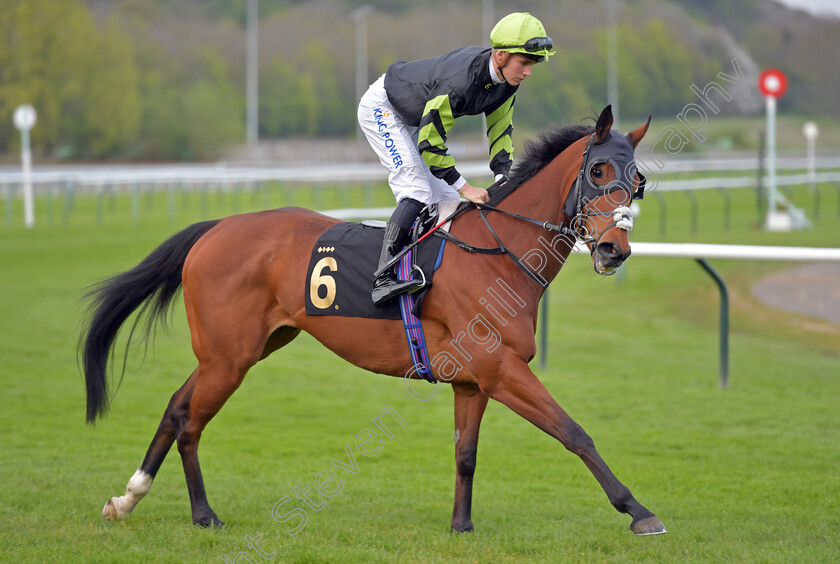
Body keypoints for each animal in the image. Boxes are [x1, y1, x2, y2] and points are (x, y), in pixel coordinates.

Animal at [82, 107, 668, 536]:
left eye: (637, 180)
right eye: (597, 171)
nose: (615, 249)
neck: (498, 253)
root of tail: (217, 227)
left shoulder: (473, 380)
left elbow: (466, 455)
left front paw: (461, 525)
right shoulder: (501, 368)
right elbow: (575, 432)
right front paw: (638, 511)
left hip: (239, 349)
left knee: (176, 407)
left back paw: (127, 499)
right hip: (229, 357)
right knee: (191, 422)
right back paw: (203, 514)